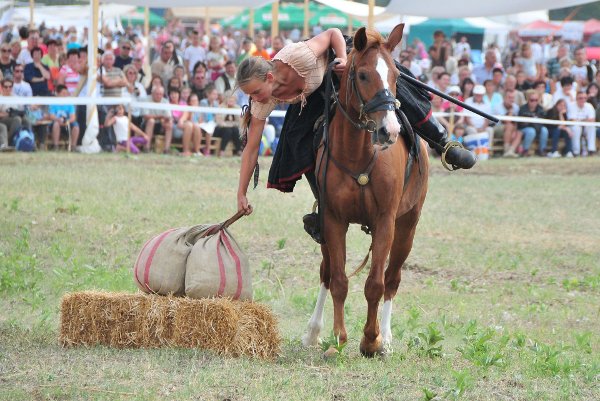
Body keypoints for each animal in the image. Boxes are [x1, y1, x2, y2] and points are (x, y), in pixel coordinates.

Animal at [302, 24, 428, 356]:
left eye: (396, 75)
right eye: (362, 75)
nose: (390, 130)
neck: (358, 155)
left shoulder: (386, 221)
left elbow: (376, 284)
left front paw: (371, 340)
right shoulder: (333, 220)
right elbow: (338, 280)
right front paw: (338, 337)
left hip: (407, 226)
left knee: (392, 279)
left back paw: (386, 338)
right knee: (326, 271)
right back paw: (313, 332)